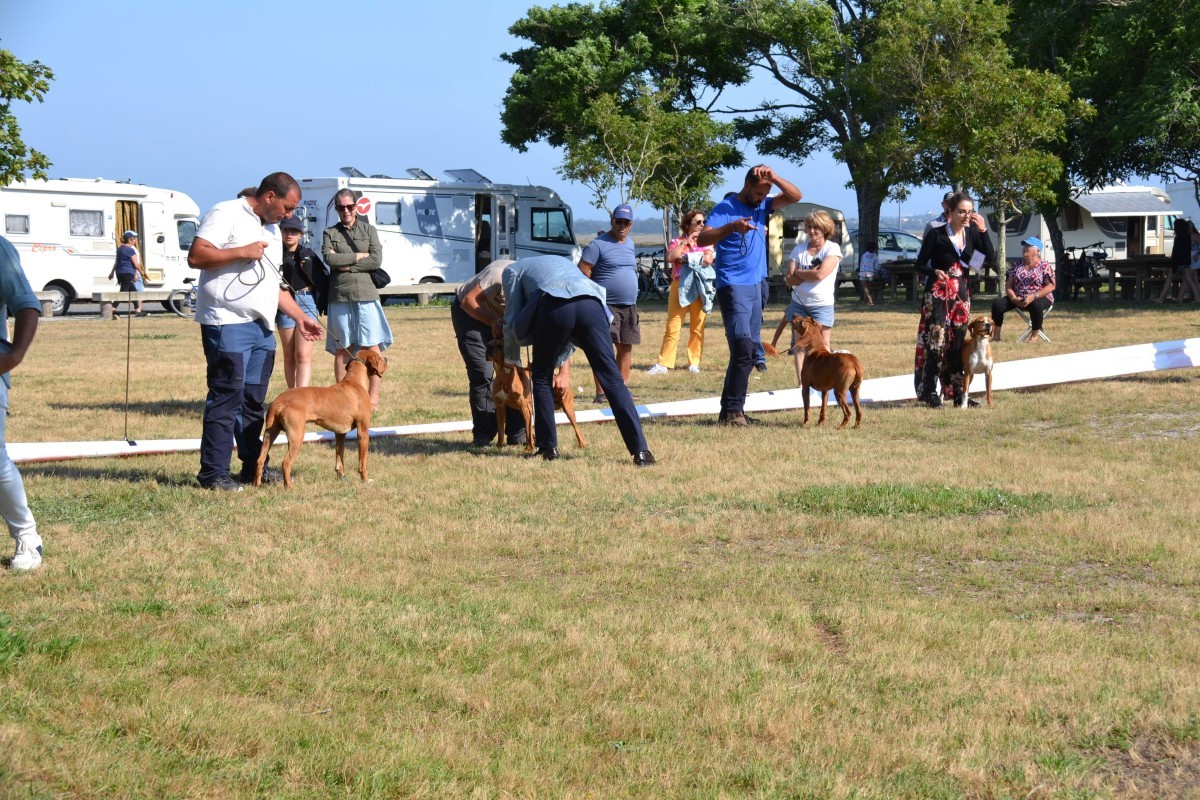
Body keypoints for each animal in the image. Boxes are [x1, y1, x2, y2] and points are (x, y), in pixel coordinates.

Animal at [254, 350, 388, 488]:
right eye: (379, 357)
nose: (386, 359)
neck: (355, 382)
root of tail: (279, 401)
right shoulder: (363, 432)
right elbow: (363, 461)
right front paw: (365, 479)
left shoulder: (340, 433)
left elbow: (340, 457)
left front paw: (341, 477)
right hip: (296, 436)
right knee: (286, 463)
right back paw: (289, 487)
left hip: (270, 434)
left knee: (260, 459)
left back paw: (256, 485)